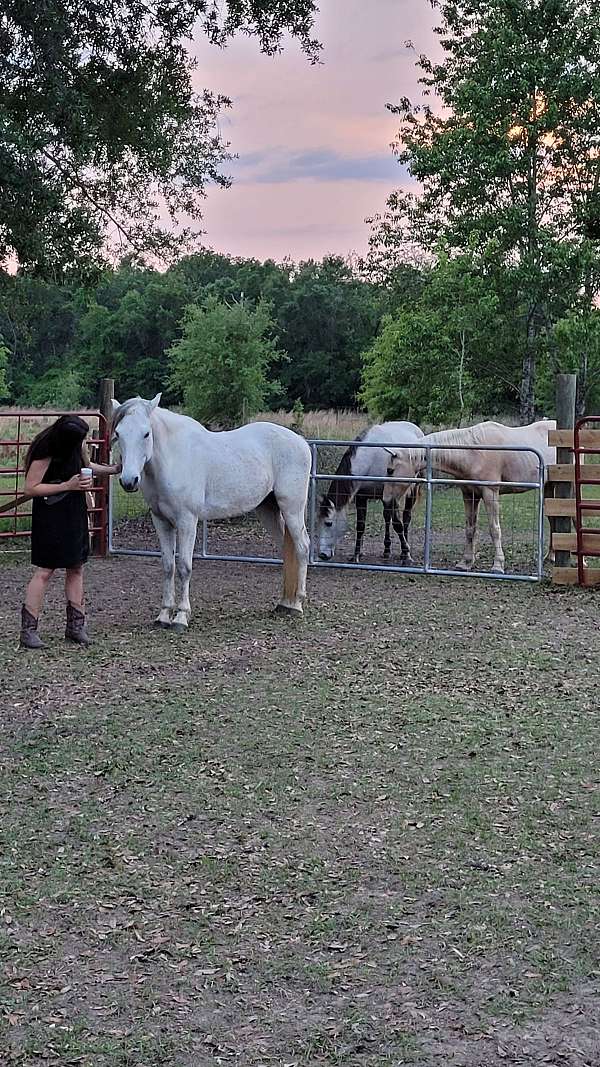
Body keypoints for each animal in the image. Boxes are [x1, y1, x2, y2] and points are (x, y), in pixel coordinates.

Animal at [109, 394, 309, 623]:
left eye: (146, 433)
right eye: (118, 433)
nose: (128, 481)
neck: (174, 458)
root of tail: (301, 442)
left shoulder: (187, 521)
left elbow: (184, 567)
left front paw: (181, 617)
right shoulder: (161, 521)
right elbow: (168, 566)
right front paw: (164, 614)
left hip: (292, 508)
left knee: (302, 547)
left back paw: (298, 602)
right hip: (269, 510)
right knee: (287, 551)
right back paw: (285, 604)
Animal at [380, 418, 555, 576]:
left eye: (390, 470)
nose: (386, 500)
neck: (473, 452)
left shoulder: (490, 492)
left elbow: (494, 529)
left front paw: (498, 566)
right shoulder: (469, 494)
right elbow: (470, 529)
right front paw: (465, 563)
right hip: (549, 487)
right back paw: (550, 556)